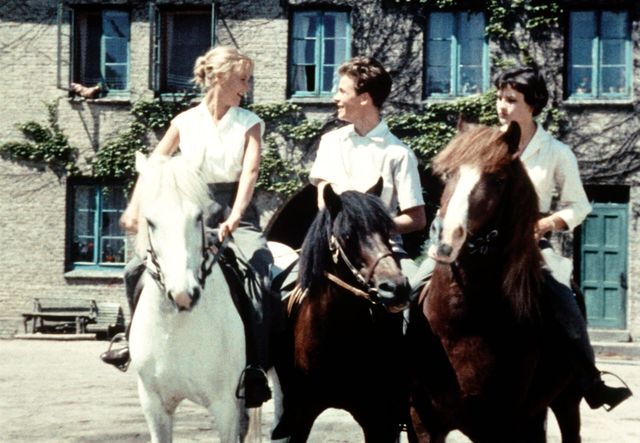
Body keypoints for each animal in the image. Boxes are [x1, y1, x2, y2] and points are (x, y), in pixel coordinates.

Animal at [406, 122, 583, 443]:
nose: (446, 240)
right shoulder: (422, 422)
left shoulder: (499, 423)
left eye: (498, 179)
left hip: (567, 401)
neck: (462, 324)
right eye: (448, 174)